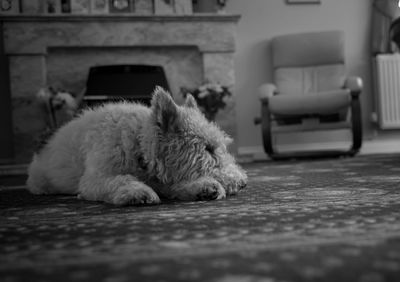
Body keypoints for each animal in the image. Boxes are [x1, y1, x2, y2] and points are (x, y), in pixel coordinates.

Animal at [25, 87, 247, 206]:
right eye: (208, 148)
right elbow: (121, 180)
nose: (243, 182)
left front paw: (204, 187)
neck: (139, 144)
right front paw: (138, 192)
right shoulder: (94, 179)